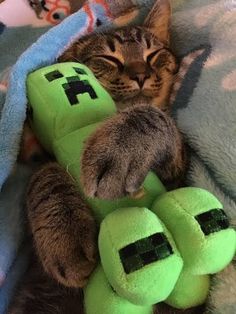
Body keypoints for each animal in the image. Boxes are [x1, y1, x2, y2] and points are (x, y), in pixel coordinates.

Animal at [8, 1, 194, 312]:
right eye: (108, 58)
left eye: (153, 55)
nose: (140, 74)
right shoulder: (43, 162)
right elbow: (44, 174)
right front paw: (65, 234)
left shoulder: (176, 174)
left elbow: (152, 116)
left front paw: (121, 146)